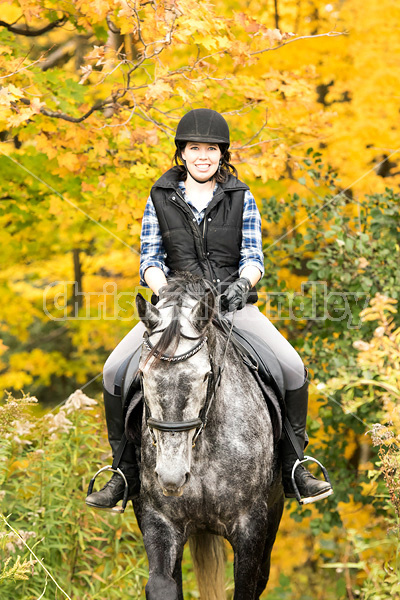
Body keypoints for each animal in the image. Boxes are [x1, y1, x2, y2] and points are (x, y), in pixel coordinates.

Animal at [128, 278, 284, 600]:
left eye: (205, 376)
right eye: (143, 375)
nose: (172, 478)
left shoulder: (251, 525)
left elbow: (246, 587)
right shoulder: (159, 519)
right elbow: (162, 585)